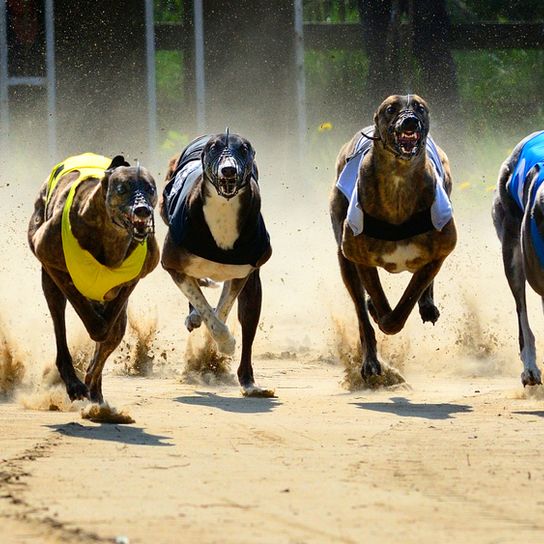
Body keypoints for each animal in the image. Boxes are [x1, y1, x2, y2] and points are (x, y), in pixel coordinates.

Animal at [28, 153, 158, 404]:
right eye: (122, 188)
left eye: (150, 188)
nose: (143, 210)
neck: (110, 235)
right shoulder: (51, 261)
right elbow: (92, 319)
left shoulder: (134, 278)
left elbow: (109, 327)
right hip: (49, 284)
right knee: (60, 325)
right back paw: (75, 384)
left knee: (111, 335)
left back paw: (94, 390)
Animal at [160, 130, 272, 398]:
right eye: (214, 148)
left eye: (244, 148)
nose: (228, 170)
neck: (223, 210)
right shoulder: (172, 265)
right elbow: (205, 308)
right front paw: (225, 341)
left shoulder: (245, 275)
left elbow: (222, 312)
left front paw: (228, 348)